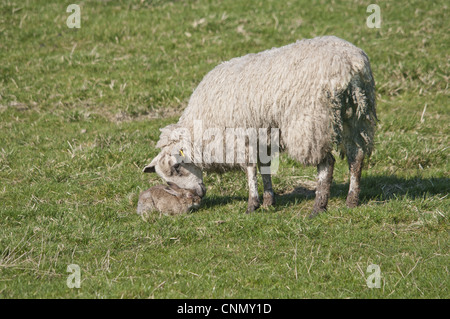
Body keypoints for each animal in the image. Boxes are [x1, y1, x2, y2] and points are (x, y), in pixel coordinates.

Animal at [143, 36, 376, 219]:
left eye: (177, 167)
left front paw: (252, 204)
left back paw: (319, 206)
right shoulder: (263, 136)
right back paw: (352, 200)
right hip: (357, 115)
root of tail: (350, 64)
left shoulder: (241, 137)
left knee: (326, 162)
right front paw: (268, 201)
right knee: (357, 156)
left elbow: (250, 169)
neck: (200, 128)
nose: (197, 196)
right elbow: (265, 168)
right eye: (167, 182)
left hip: (311, 122)